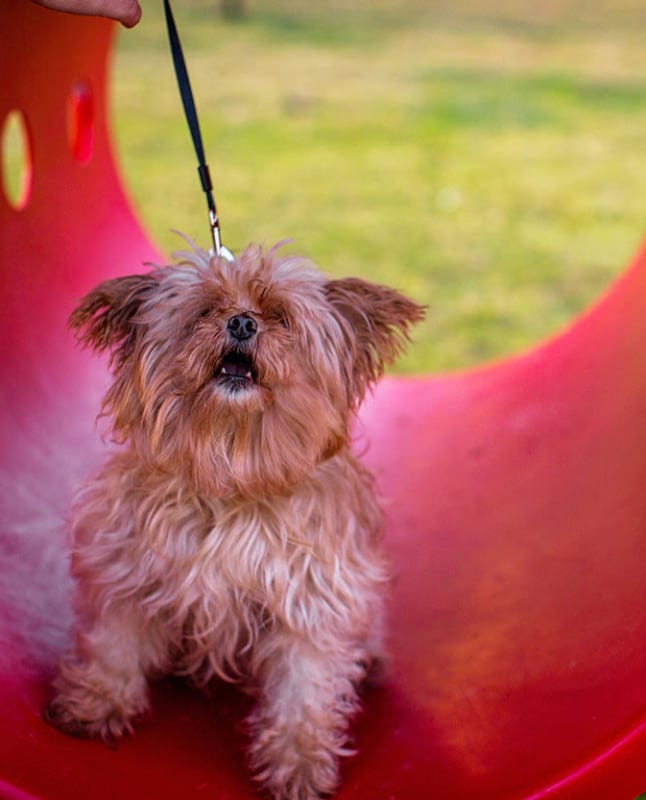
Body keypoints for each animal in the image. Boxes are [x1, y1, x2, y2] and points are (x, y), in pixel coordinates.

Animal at [45, 244, 428, 800]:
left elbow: (304, 689)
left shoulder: (310, 601)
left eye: (281, 317)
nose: (243, 321)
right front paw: (97, 701)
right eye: (205, 310)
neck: (234, 473)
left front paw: (299, 761)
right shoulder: (130, 571)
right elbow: (115, 644)